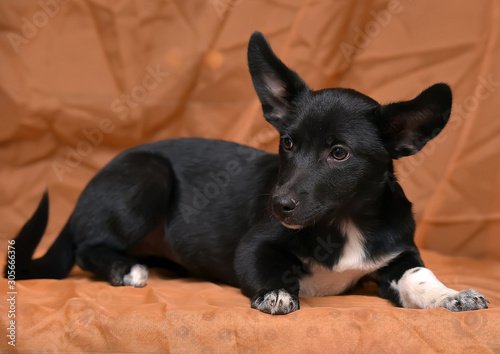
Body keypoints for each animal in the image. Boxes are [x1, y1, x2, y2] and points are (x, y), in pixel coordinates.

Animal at [3, 31, 488, 316]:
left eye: (339, 153)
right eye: (287, 143)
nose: (279, 205)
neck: (345, 222)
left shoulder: (399, 255)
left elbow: (420, 277)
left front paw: (451, 295)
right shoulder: (254, 246)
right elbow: (266, 267)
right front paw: (275, 292)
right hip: (148, 175)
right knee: (86, 248)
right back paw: (126, 269)